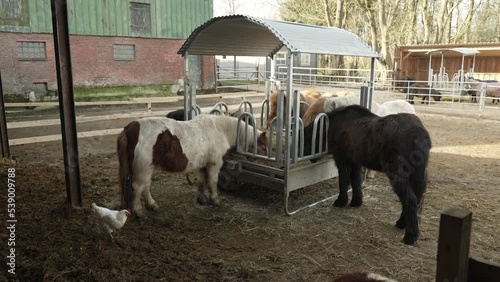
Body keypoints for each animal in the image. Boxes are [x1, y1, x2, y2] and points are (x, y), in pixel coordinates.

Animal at [117, 114, 268, 216]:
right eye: (264, 146)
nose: (265, 165)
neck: (221, 130)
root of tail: (130, 128)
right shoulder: (214, 164)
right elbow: (212, 182)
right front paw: (215, 200)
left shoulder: (202, 165)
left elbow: (201, 181)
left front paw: (202, 199)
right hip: (144, 169)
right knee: (137, 187)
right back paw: (139, 211)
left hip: (148, 168)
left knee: (146, 186)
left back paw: (152, 205)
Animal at [302, 106, 432, 245]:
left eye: (305, 140)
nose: (311, 160)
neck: (336, 124)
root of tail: (418, 133)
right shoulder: (355, 162)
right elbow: (356, 181)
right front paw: (356, 202)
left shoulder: (343, 160)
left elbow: (343, 181)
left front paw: (340, 201)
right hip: (416, 174)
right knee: (415, 198)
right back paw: (402, 224)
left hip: (397, 173)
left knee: (410, 199)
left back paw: (410, 236)